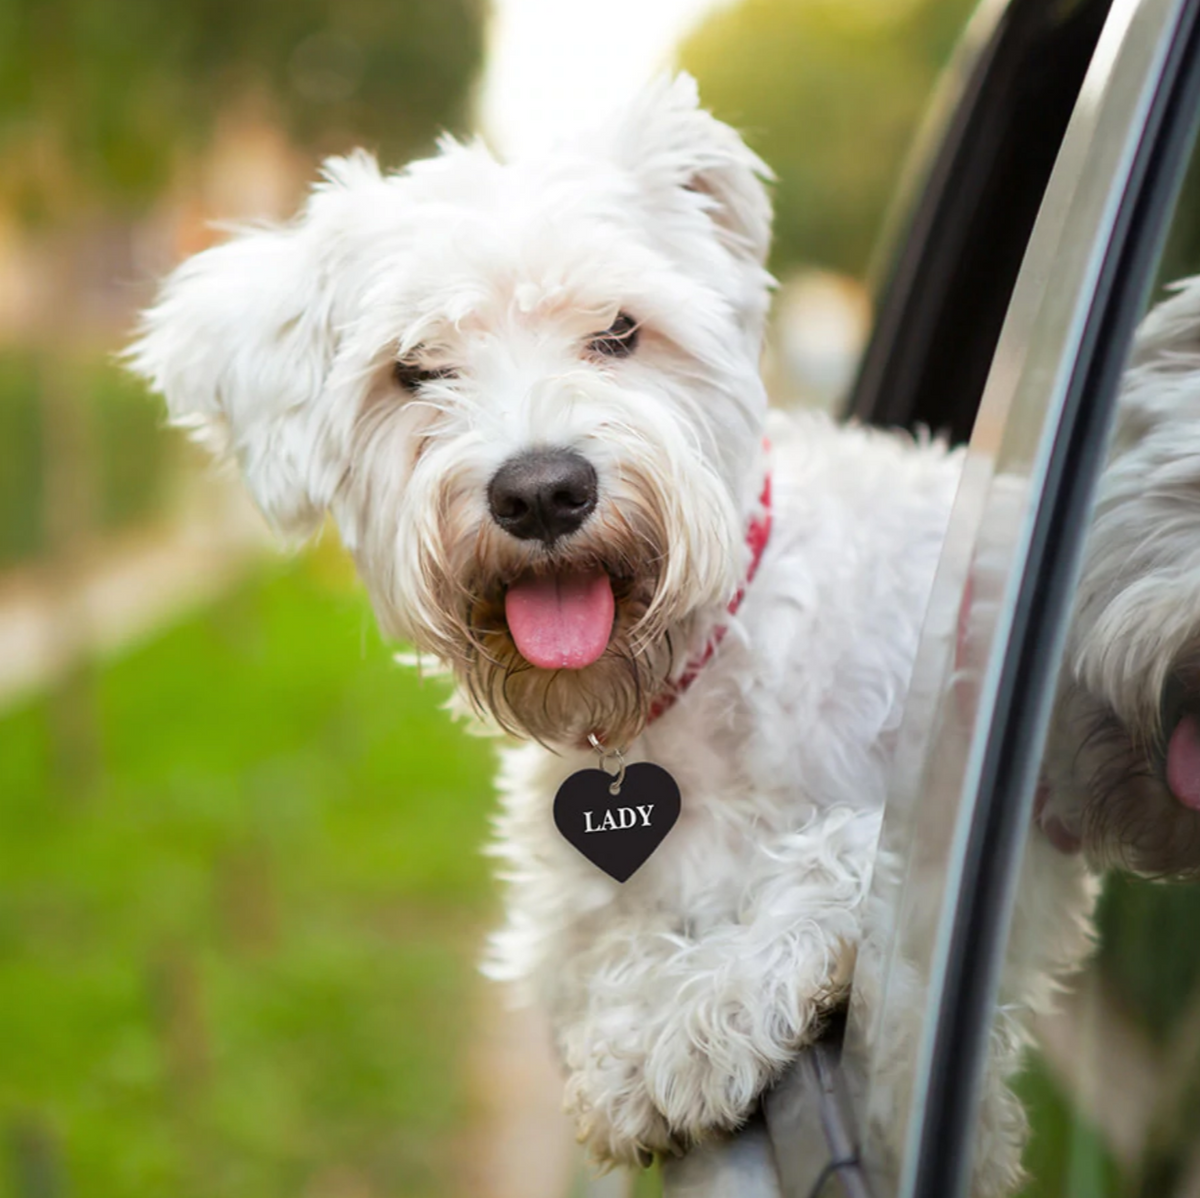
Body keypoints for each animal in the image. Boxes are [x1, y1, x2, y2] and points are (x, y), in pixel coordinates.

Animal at [126, 79, 1099, 1195]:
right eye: (416, 370)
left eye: (621, 330)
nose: (544, 491)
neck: (667, 694)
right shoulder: (569, 925)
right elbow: (605, 953)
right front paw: (646, 1027)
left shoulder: (989, 820)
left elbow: (849, 854)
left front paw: (684, 1029)